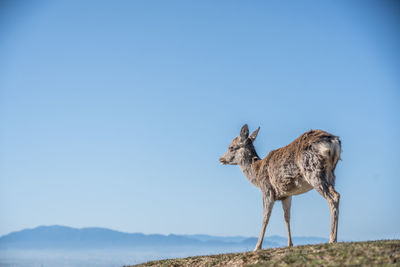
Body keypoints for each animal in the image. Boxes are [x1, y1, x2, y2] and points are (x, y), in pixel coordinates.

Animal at [219, 124, 340, 252]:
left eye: (231, 147)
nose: (221, 159)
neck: (256, 174)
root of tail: (333, 142)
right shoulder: (286, 195)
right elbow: (287, 217)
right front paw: (290, 244)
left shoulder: (267, 189)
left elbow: (265, 217)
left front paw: (257, 247)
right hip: (331, 173)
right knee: (336, 194)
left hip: (313, 170)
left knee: (333, 196)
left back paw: (332, 239)